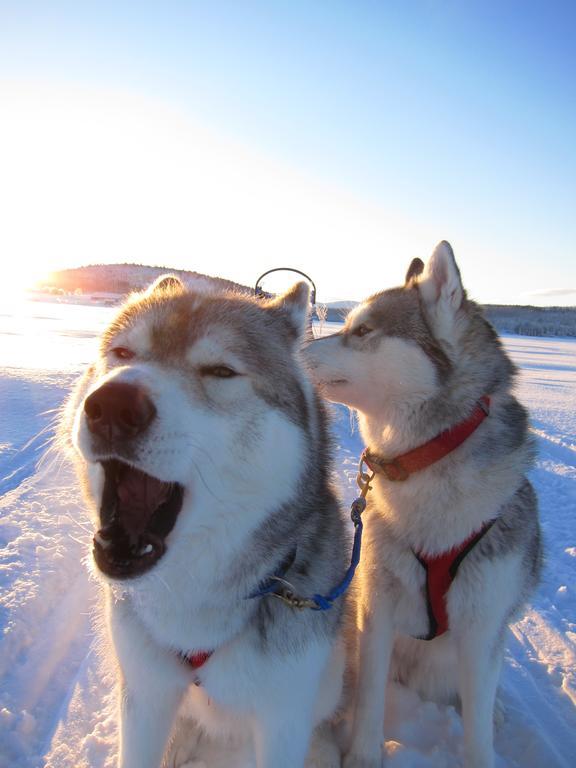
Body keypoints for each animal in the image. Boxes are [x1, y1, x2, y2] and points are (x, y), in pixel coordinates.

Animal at [304, 242, 544, 768]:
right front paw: (363, 755)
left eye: (363, 331)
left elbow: (477, 732)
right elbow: (371, 697)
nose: (289, 346)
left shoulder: (481, 626)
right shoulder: (376, 605)